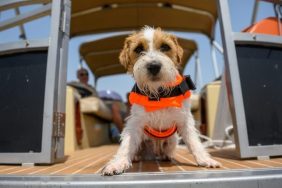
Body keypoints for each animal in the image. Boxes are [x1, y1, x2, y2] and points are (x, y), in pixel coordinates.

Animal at [101, 26, 220, 176]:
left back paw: (166, 156)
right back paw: (136, 157)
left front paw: (205, 159)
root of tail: (153, 154)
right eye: (138, 49)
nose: (154, 66)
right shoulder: (135, 123)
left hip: (172, 140)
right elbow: (126, 145)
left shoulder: (185, 120)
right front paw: (117, 163)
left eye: (165, 47)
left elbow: (194, 142)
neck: (158, 93)